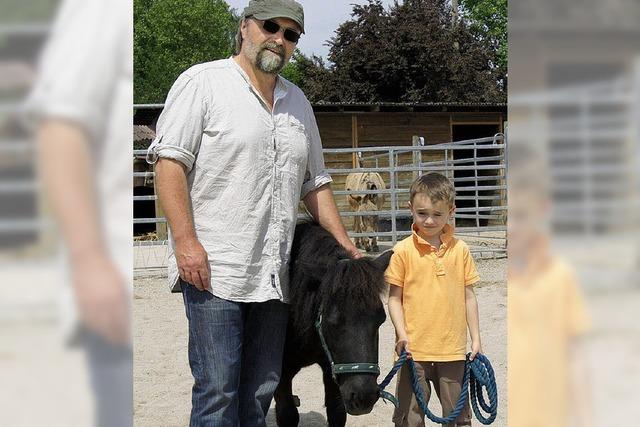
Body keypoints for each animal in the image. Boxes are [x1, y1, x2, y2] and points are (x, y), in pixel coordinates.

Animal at [274, 222, 392, 426]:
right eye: (333, 321)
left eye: (381, 319)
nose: (364, 397)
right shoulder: (280, 374)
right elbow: (287, 414)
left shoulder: (333, 368)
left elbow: (337, 411)